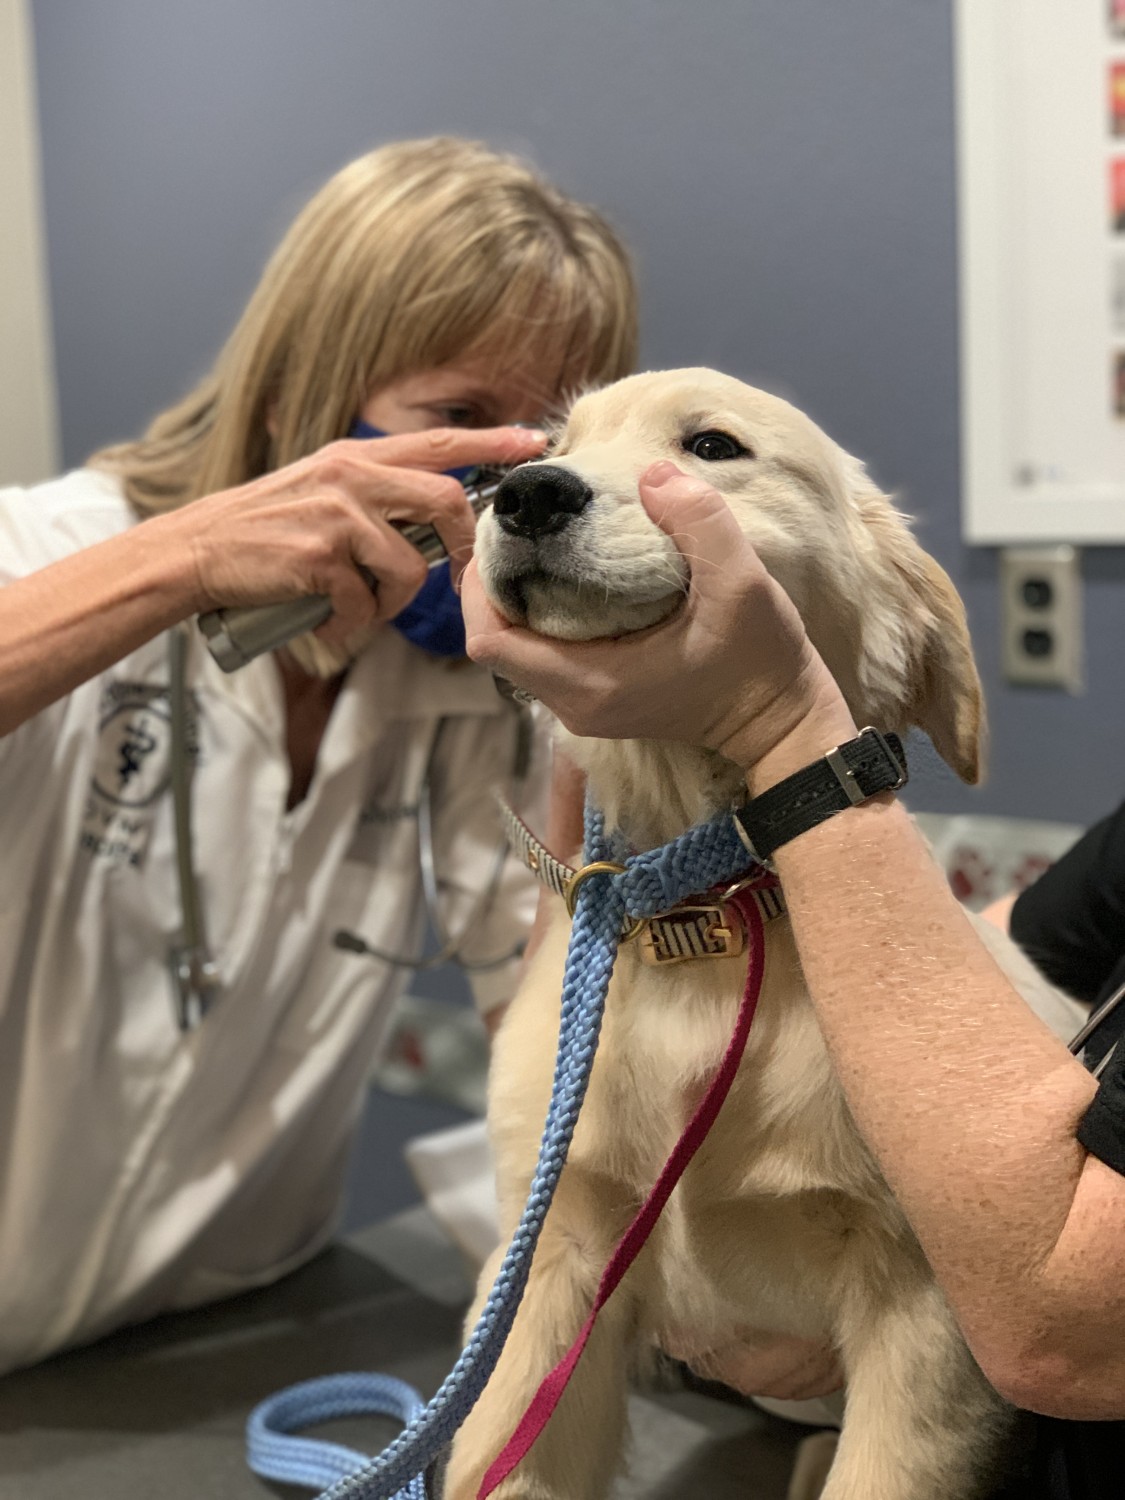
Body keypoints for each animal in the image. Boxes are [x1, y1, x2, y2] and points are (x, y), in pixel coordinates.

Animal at [444, 366, 1086, 1500]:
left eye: (711, 447)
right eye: (556, 445)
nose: (525, 494)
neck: (709, 919)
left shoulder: (925, 1317)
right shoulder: (549, 1258)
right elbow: (496, 1457)